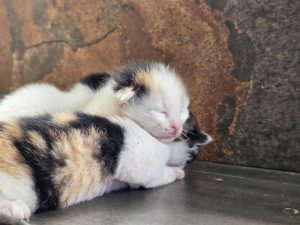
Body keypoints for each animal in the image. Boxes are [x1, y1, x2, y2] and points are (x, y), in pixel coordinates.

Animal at [0, 112, 210, 223]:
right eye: (192, 155)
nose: (189, 161)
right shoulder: (141, 170)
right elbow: (160, 176)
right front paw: (177, 172)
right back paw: (15, 208)